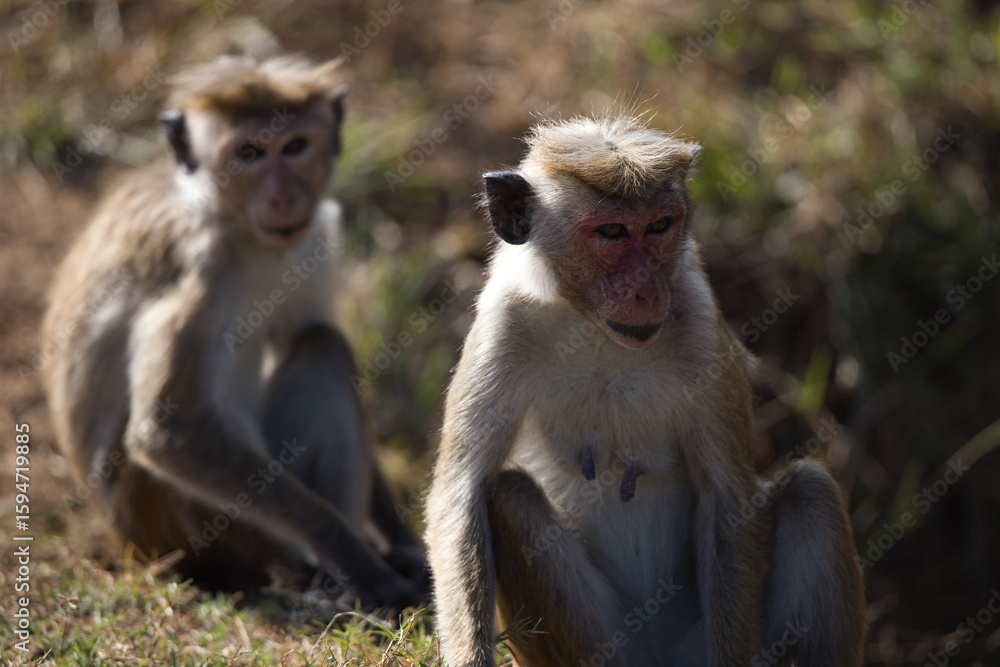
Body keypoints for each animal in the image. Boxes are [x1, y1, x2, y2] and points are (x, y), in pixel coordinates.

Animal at [42, 54, 426, 608]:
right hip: (196, 531)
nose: (283, 196)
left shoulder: (313, 240)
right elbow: (171, 428)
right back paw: (324, 580)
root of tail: (134, 547)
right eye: (248, 153)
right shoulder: (201, 265)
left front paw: (404, 545)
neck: (239, 226)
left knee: (321, 346)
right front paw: (356, 558)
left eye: (294, 147)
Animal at [424, 114, 865, 666]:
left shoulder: (700, 327)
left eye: (659, 226)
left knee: (811, 491)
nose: (648, 290)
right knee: (509, 496)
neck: (594, 330)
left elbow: (729, 499)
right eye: (612, 232)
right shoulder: (502, 327)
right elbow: (459, 497)